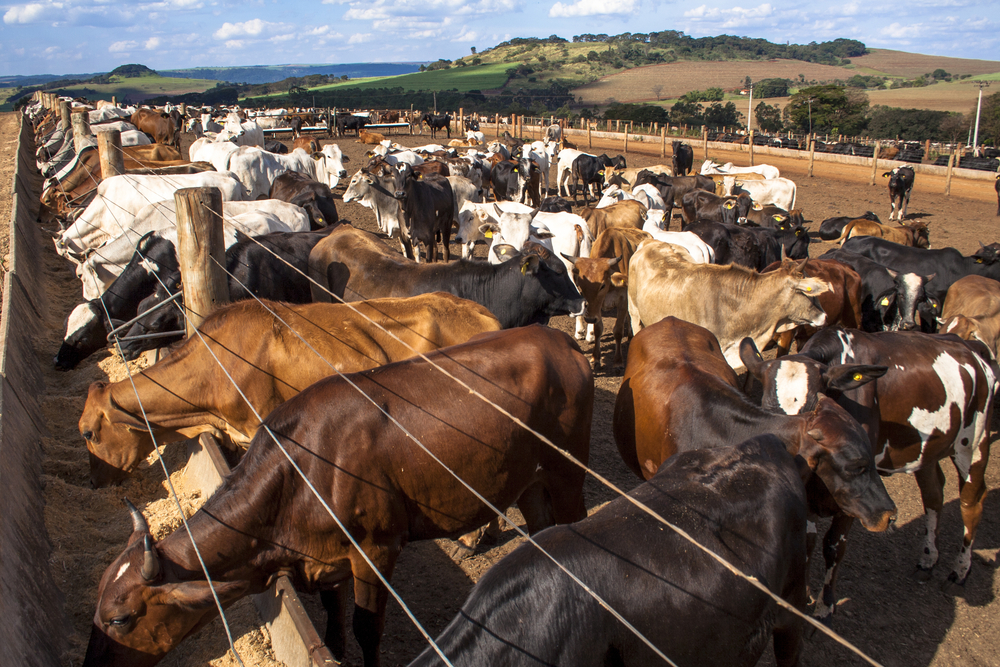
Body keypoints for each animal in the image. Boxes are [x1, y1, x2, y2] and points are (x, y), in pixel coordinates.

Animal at [84, 324, 592, 667]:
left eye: (120, 619)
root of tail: (556, 337)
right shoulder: (324, 560)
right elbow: (333, 617)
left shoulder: (376, 549)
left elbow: (367, 627)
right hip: (531, 482)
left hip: (568, 473)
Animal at [744, 326, 1000, 620]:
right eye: (767, 409)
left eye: (811, 410)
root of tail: (970, 348)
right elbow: (807, 542)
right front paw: (803, 595)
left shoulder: (853, 494)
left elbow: (833, 546)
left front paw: (825, 604)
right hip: (928, 450)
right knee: (933, 494)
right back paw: (928, 559)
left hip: (973, 444)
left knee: (971, 503)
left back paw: (959, 571)